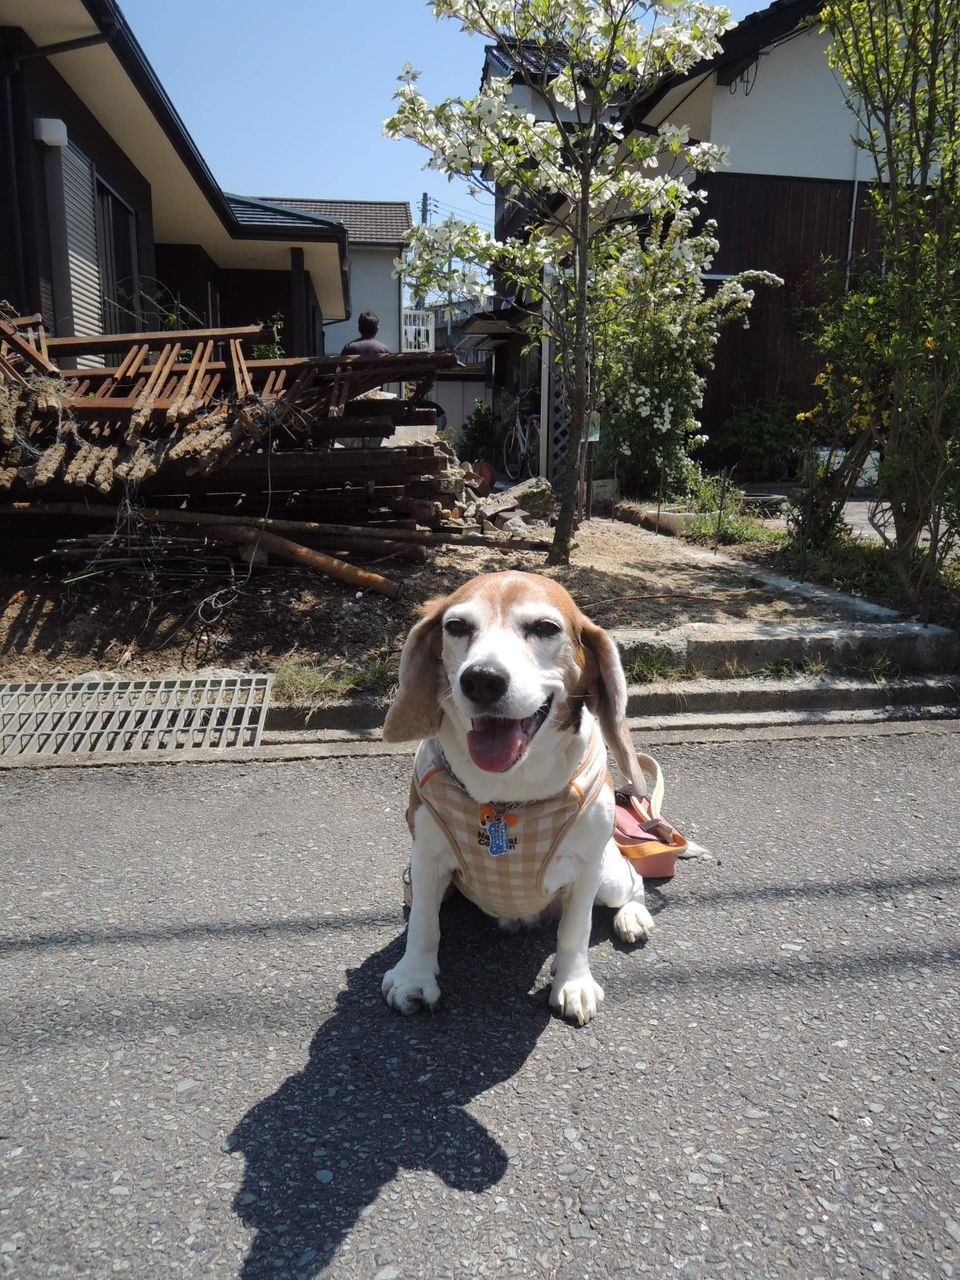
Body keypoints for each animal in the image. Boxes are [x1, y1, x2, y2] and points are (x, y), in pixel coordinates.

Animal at [384, 570, 660, 1029]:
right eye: (456, 627)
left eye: (545, 628)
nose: (481, 678)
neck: (507, 792)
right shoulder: (425, 858)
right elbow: (423, 924)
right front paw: (413, 978)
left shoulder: (587, 868)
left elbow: (575, 931)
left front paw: (573, 983)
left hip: (608, 874)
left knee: (633, 881)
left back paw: (632, 916)